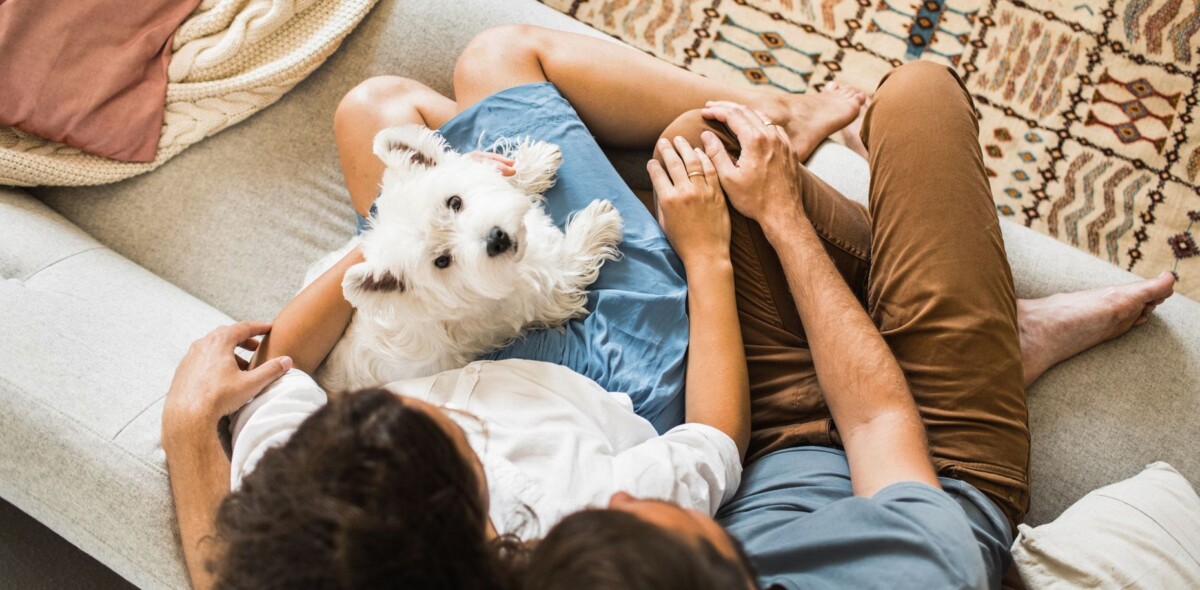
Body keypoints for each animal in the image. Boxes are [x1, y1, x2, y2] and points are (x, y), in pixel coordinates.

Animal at [307, 124, 628, 390]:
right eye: (442, 261)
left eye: (455, 202)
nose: (496, 239)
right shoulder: (548, 290)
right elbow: (573, 260)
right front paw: (598, 222)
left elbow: (500, 178)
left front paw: (536, 162)